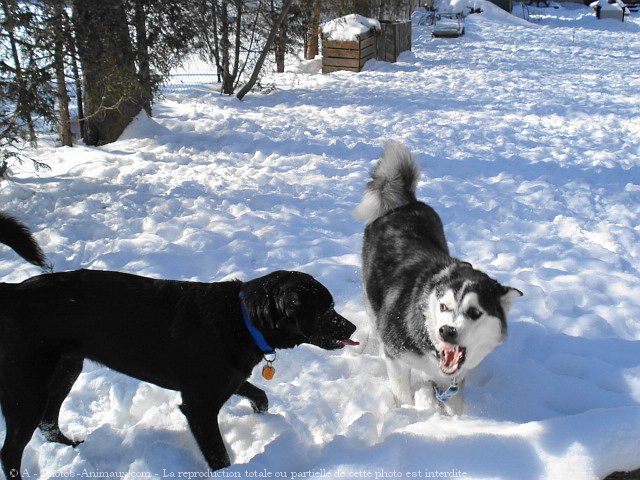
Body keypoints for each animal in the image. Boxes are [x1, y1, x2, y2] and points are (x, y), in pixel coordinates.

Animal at [0, 214, 358, 476]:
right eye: (326, 309)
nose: (353, 326)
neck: (242, 320)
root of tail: (12, 293)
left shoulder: (226, 381)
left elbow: (260, 394)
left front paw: (263, 418)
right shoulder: (198, 405)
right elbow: (219, 456)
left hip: (65, 369)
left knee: (49, 422)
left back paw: (74, 446)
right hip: (26, 388)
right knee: (11, 450)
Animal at [356, 142, 520, 412]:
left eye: (474, 312)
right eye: (444, 306)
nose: (447, 331)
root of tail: (404, 203)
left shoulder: (452, 378)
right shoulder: (396, 357)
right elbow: (403, 393)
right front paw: (409, 413)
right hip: (371, 295)